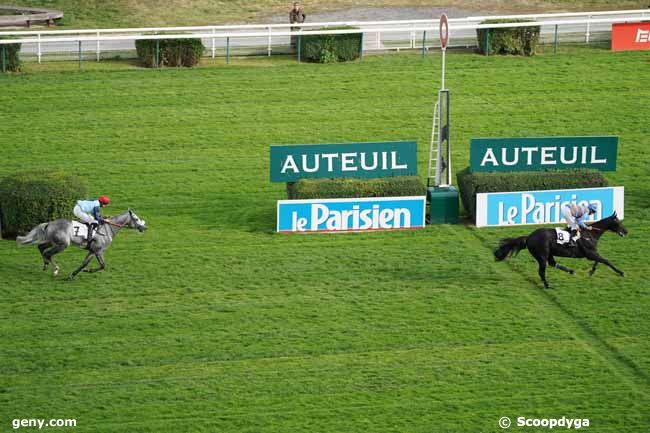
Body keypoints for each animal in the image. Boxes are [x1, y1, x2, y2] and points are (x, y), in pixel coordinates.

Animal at [16, 208, 147, 280]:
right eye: (136, 219)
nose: (144, 227)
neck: (108, 229)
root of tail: (49, 223)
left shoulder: (92, 251)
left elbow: (84, 264)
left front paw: (73, 275)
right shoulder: (98, 250)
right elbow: (103, 265)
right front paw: (88, 271)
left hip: (52, 241)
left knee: (41, 248)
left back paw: (46, 265)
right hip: (62, 244)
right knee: (48, 253)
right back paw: (55, 270)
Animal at [494, 212, 624, 288]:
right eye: (618, 222)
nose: (626, 231)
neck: (590, 234)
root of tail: (529, 237)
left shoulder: (592, 253)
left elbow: (599, 260)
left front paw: (591, 271)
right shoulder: (590, 253)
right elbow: (606, 261)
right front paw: (620, 272)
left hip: (549, 253)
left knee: (552, 263)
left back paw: (571, 271)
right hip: (542, 255)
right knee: (541, 271)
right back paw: (547, 285)